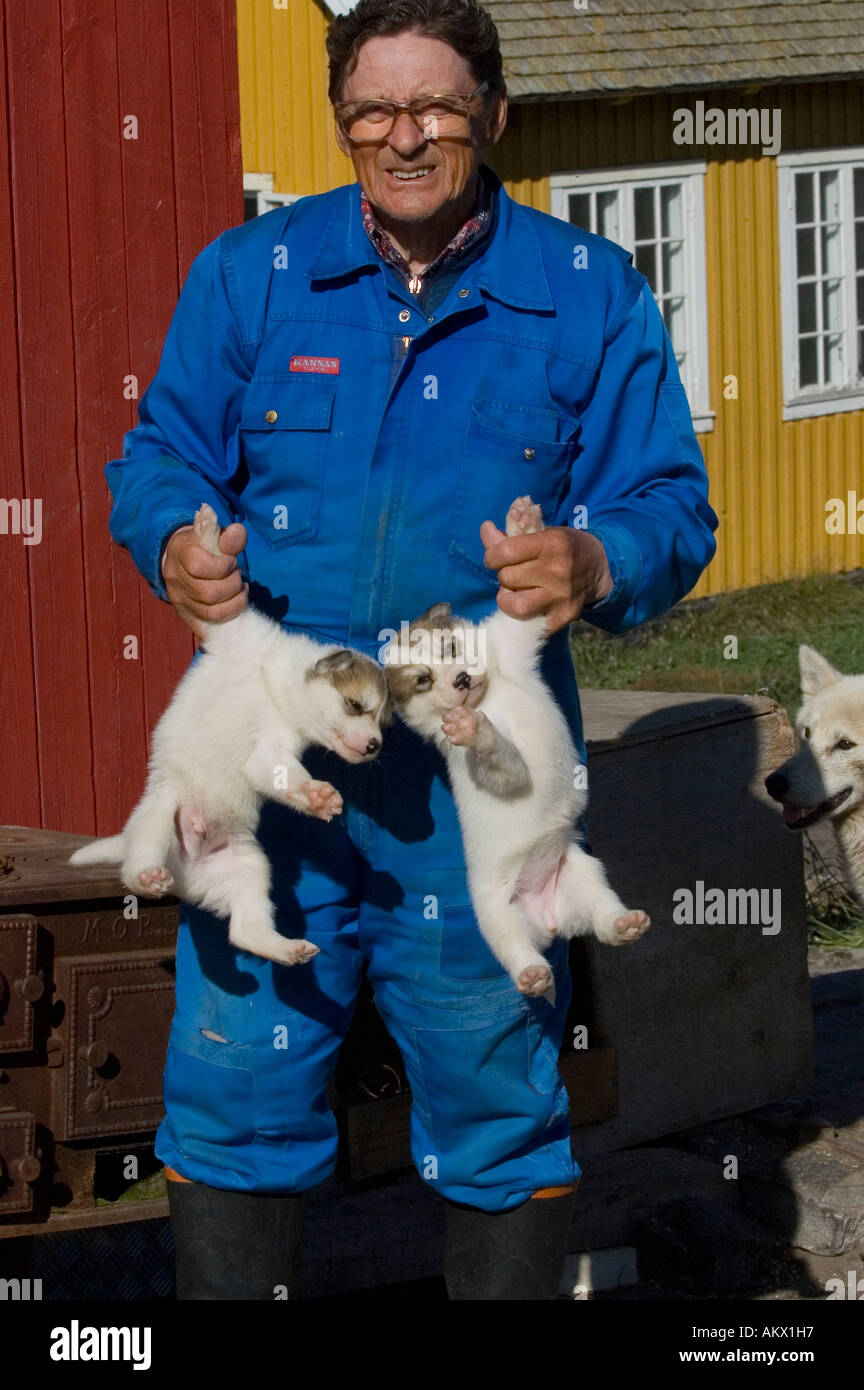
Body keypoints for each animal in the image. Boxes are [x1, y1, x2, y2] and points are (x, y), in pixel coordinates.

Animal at [71, 503, 388, 967]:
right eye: (354, 704)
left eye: (384, 722)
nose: (374, 746)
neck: (270, 679)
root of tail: (185, 874)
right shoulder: (233, 629)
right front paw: (206, 534)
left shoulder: (272, 752)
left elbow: (288, 777)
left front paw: (315, 796)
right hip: (159, 815)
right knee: (135, 865)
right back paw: (148, 877)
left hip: (249, 867)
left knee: (244, 931)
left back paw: (286, 948)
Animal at [386, 494, 650, 995]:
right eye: (423, 680)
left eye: (451, 649)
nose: (461, 680)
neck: (490, 696)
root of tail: (547, 918)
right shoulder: (487, 768)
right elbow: (499, 755)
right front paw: (475, 728)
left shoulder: (515, 632)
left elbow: (520, 605)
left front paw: (522, 525)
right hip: (495, 917)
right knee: (516, 951)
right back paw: (531, 973)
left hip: (583, 872)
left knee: (603, 916)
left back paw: (623, 924)